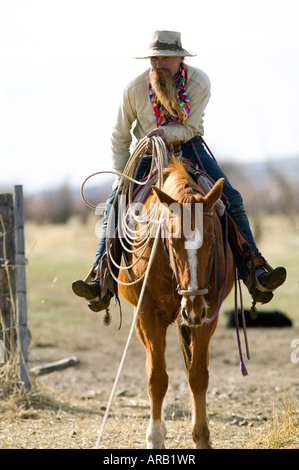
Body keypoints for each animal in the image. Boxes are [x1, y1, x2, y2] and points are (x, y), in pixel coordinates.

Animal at [118, 159, 236, 448]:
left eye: (212, 238)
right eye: (171, 240)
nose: (192, 305)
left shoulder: (208, 314)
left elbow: (198, 375)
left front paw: (202, 436)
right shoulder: (148, 314)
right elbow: (157, 377)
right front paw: (155, 437)